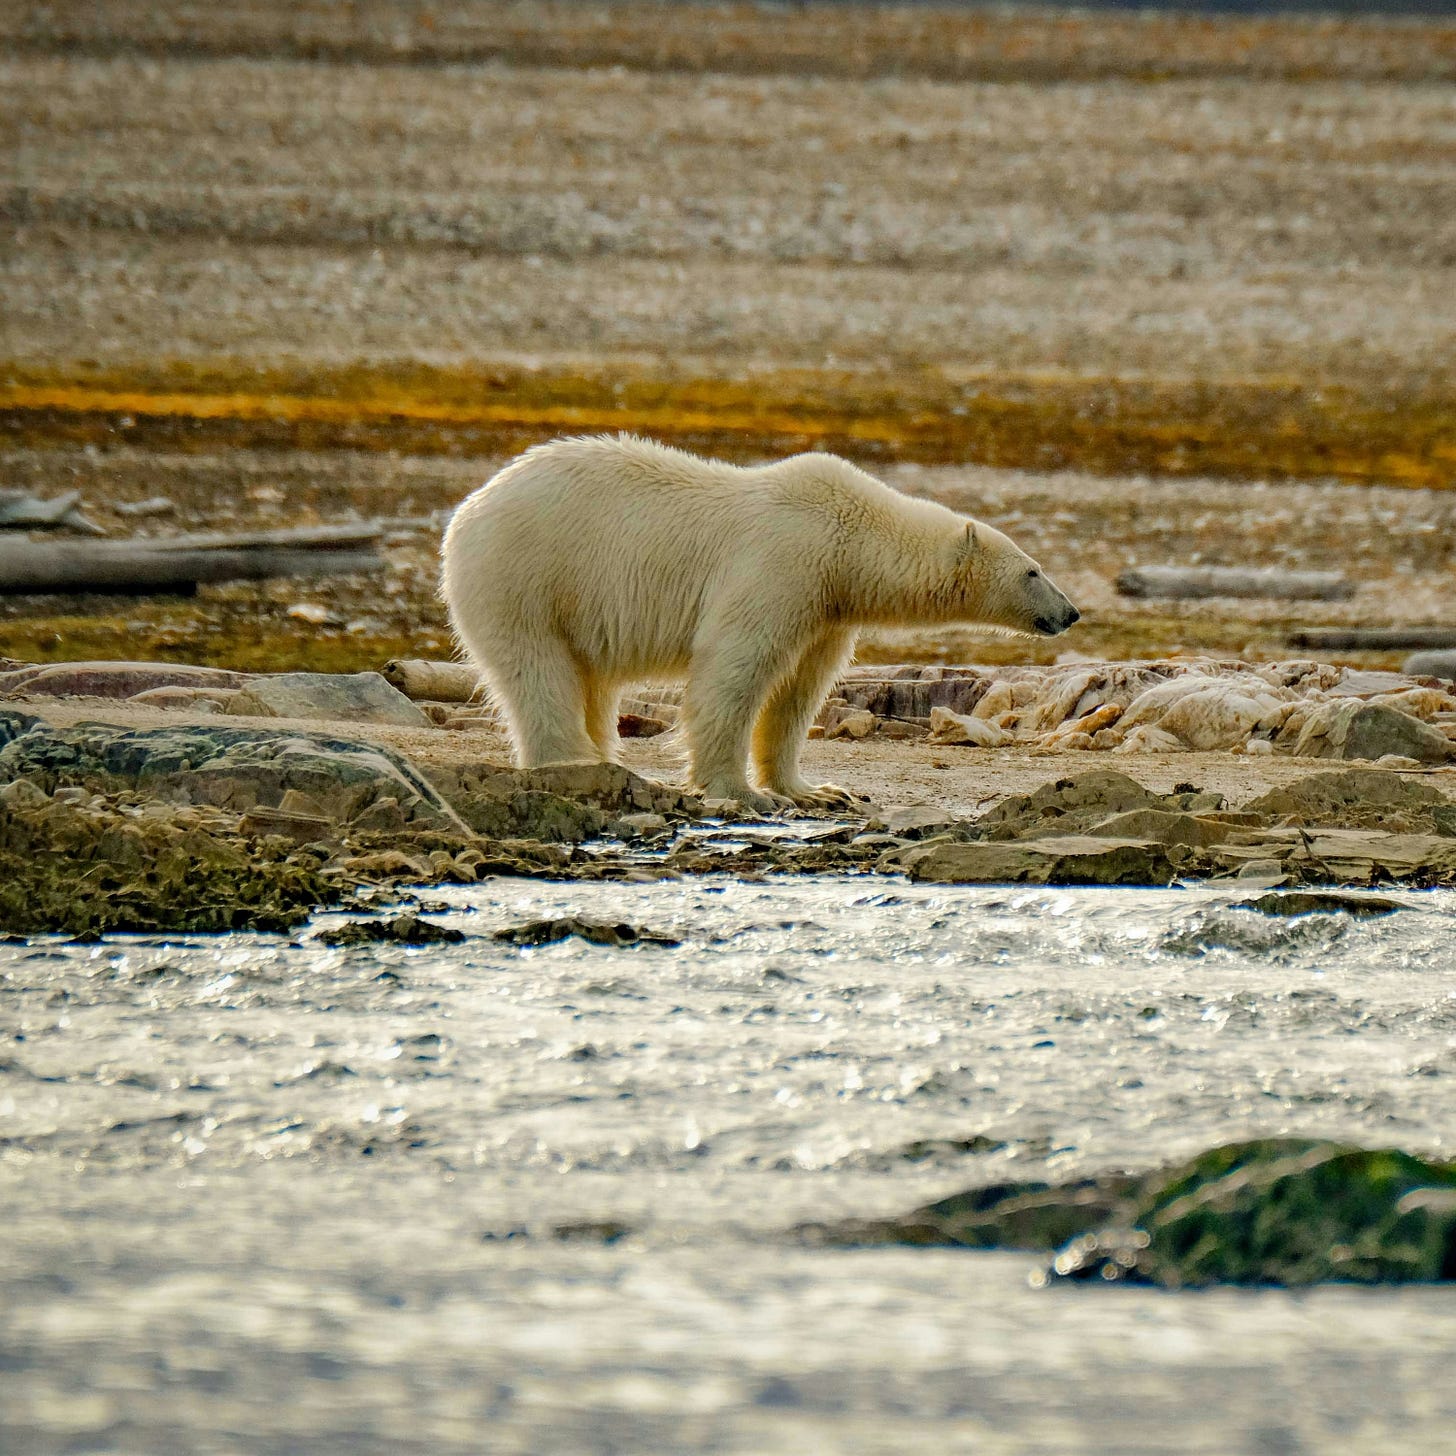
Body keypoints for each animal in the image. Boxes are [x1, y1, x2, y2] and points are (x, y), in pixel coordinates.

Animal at [441, 434, 1079, 812]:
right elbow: (734, 670)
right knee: (538, 670)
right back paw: (573, 762)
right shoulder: (781, 565)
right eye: (1033, 570)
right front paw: (744, 794)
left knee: (590, 680)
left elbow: (799, 690)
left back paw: (603, 760)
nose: (1070, 612)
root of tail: (470, 508)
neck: (849, 537)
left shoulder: (826, 606)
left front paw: (816, 790)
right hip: (525, 576)